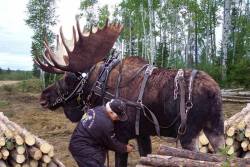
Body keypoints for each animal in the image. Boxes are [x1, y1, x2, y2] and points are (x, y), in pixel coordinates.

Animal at [36, 19, 226, 167]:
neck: (99, 85)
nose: (43, 97)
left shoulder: (122, 135)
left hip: (188, 134)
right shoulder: (142, 134)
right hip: (214, 128)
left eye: (68, 78)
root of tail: (215, 91)